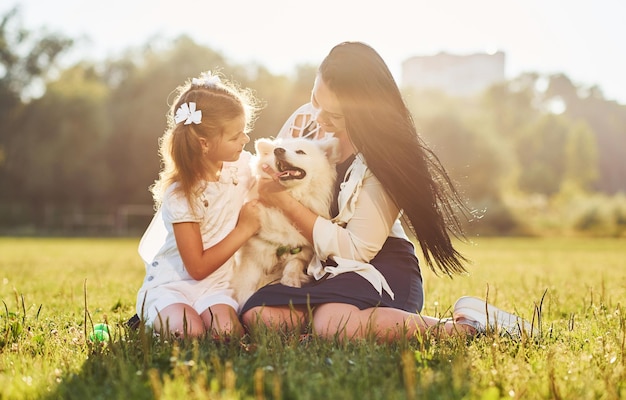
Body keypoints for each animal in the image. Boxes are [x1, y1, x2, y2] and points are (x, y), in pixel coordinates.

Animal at [232, 136, 338, 304]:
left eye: (300, 152)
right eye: (278, 149)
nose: (278, 150)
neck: (292, 194)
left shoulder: (303, 250)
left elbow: (294, 263)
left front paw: (290, 280)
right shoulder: (251, 257)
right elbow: (246, 287)